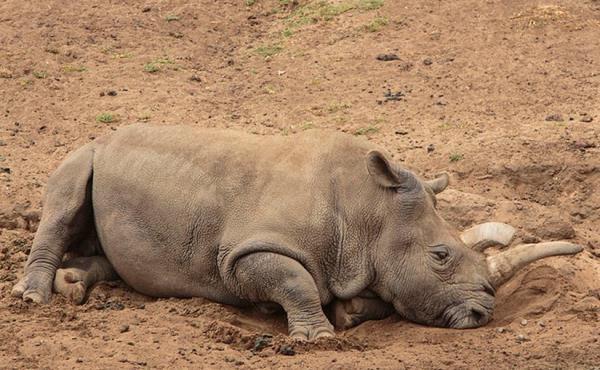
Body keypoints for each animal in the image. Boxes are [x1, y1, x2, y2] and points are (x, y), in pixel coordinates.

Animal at [10, 125, 580, 340]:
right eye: (440, 256)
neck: (368, 211)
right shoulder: (242, 253)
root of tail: (105, 136)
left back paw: (73, 285)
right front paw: (316, 336)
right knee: (64, 197)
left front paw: (349, 312)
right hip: (87, 151)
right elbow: (292, 280)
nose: (483, 314)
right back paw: (35, 299)